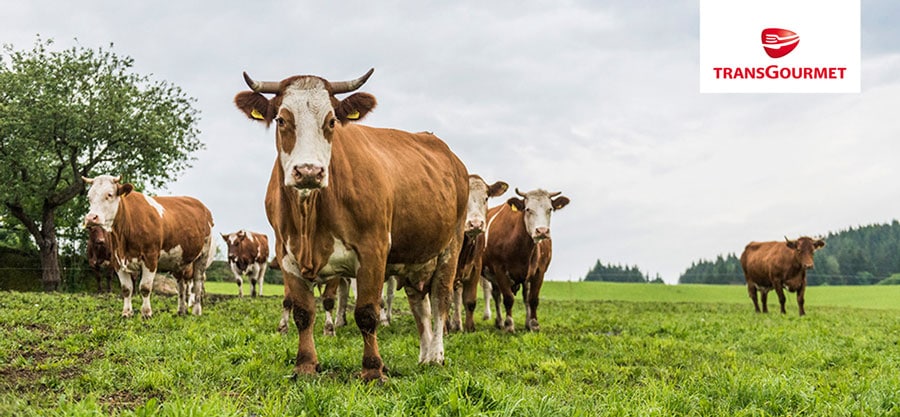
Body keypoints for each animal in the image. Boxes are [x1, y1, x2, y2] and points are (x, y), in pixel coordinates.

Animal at [83, 174, 216, 316]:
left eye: (109, 194)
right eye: (89, 197)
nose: (91, 218)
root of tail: (203, 207)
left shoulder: (150, 258)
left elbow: (145, 288)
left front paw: (146, 313)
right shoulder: (117, 261)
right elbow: (126, 289)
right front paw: (126, 313)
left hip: (203, 256)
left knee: (197, 283)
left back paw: (196, 311)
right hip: (179, 260)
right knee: (181, 286)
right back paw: (181, 311)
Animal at [478, 188, 568, 332]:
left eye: (550, 209)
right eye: (528, 209)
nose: (542, 231)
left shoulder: (539, 271)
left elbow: (533, 299)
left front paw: (534, 324)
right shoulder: (499, 269)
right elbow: (508, 299)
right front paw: (509, 325)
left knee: (523, 296)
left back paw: (524, 322)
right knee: (496, 295)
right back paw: (500, 322)